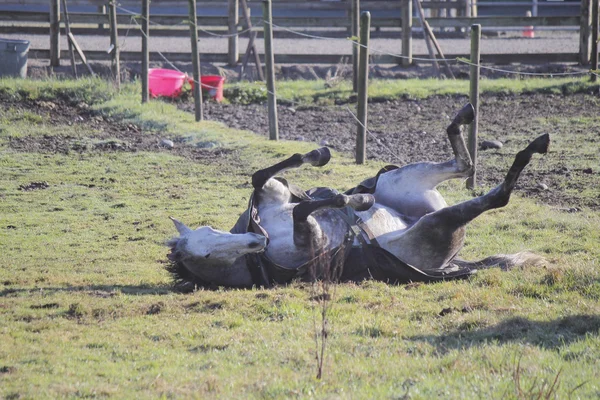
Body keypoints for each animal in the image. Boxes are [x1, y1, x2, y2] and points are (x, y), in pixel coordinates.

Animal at [165, 103, 548, 290]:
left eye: (209, 233)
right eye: (207, 255)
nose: (256, 242)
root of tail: (455, 261)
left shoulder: (273, 193)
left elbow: (265, 177)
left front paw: (320, 157)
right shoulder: (312, 242)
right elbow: (305, 209)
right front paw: (353, 201)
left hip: (400, 179)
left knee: (464, 165)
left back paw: (473, 119)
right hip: (436, 222)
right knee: (495, 196)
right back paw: (530, 149)